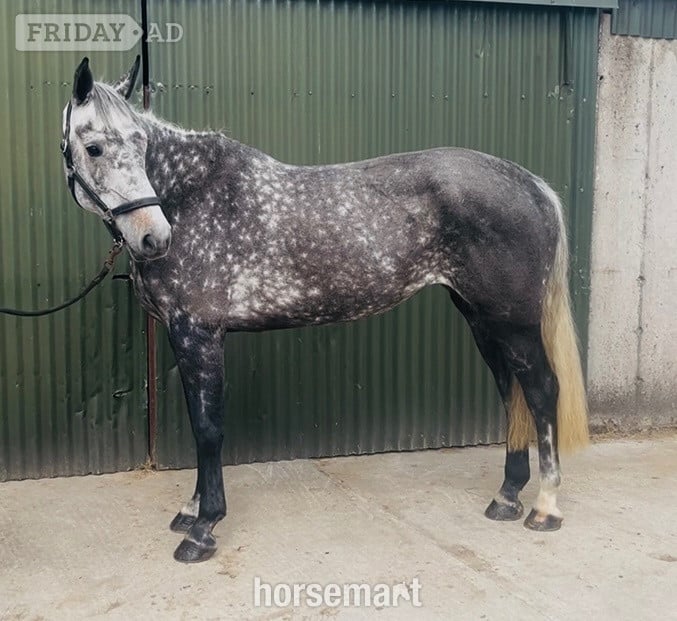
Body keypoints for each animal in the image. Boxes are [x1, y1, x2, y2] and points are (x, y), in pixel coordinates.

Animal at [61, 57, 588, 563]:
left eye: (139, 142)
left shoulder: (199, 333)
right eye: (95, 148)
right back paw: (507, 496)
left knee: (542, 390)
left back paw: (545, 507)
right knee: (512, 393)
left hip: (514, 324)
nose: (154, 237)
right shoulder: (183, 335)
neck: (190, 199)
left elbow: (208, 429)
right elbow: (199, 423)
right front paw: (191, 510)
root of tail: (532, 185)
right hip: (483, 319)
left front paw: (203, 527)